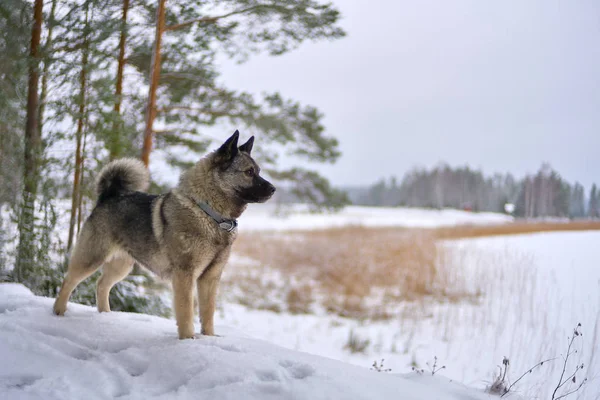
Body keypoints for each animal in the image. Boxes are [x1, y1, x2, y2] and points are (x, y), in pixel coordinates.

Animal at [52, 131, 276, 338]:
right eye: (249, 172)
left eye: (258, 171)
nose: (274, 189)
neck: (209, 213)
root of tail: (109, 196)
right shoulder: (185, 275)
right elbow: (186, 313)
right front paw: (188, 340)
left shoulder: (210, 278)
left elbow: (208, 313)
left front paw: (209, 338)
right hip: (91, 257)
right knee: (68, 280)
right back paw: (59, 311)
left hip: (121, 265)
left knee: (101, 285)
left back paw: (105, 315)